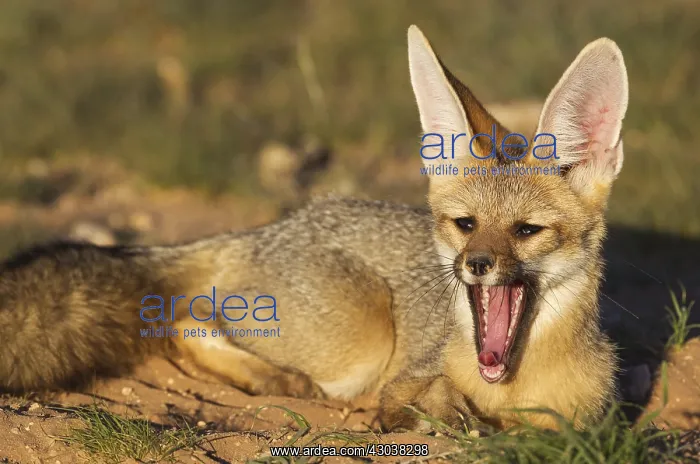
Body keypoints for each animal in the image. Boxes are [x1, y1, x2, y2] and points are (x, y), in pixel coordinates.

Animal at [0, 25, 628, 433]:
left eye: (526, 231)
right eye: (465, 224)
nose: (474, 265)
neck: (514, 386)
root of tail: (269, 228)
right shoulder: (404, 381)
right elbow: (430, 408)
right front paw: (448, 417)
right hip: (361, 344)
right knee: (184, 322)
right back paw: (280, 381)